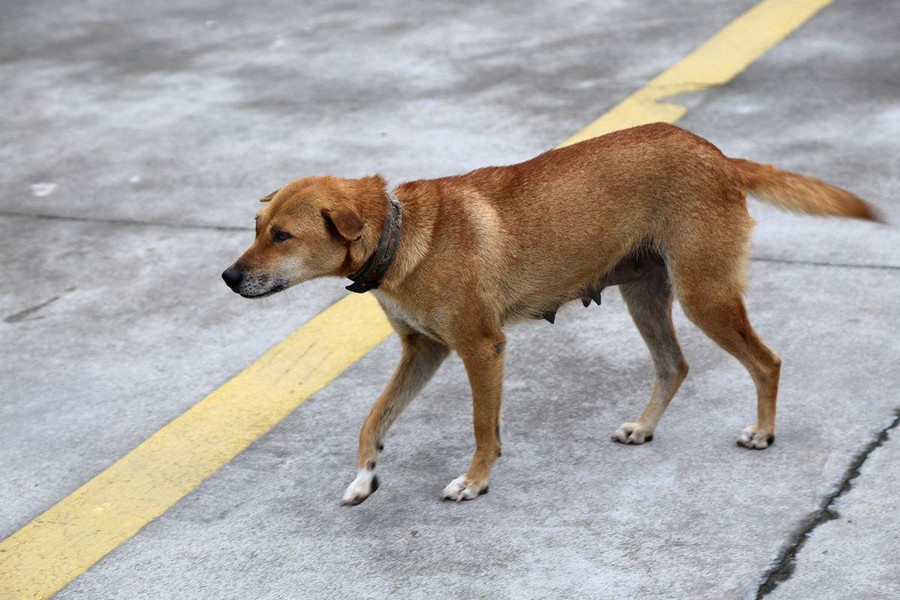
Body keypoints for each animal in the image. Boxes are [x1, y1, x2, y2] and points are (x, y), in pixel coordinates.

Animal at [223, 123, 880, 506]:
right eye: (255, 227)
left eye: (282, 236)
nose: (228, 278)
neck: (401, 231)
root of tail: (719, 155)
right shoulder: (424, 351)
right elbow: (373, 419)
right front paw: (364, 477)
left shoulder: (481, 348)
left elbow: (482, 427)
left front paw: (475, 481)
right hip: (647, 297)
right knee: (674, 365)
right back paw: (644, 428)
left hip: (705, 295)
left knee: (766, 361)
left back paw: (764, 432)